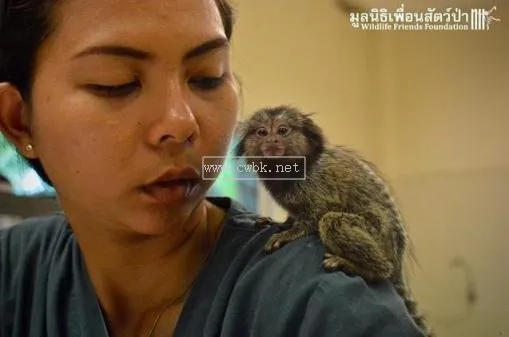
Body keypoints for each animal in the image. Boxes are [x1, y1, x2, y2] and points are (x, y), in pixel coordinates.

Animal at [234, 105, 432, 336]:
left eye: (282, 131)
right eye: (262, 132)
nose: (272, 141)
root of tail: (398, 252)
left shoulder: (317, 182)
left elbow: (318, 213)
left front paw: (288, 233)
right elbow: (295, 214)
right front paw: (283, 223)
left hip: (379, 234)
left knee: (334, 223)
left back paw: (365, 267)